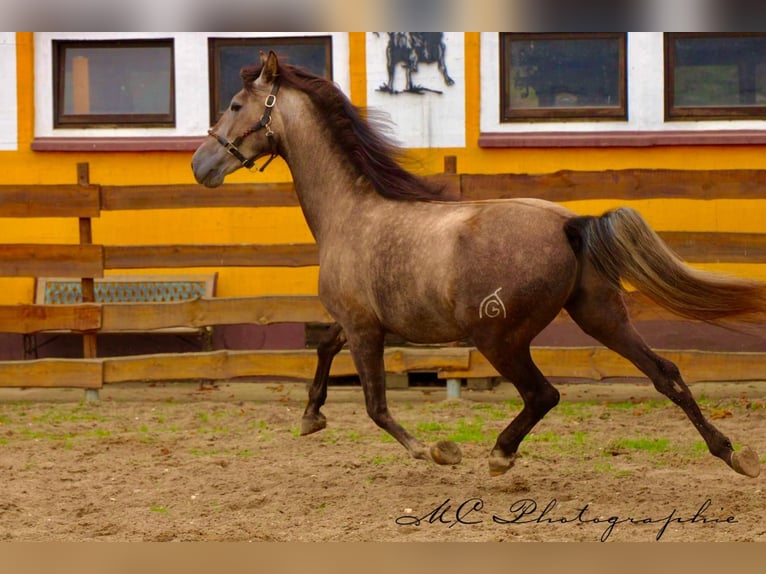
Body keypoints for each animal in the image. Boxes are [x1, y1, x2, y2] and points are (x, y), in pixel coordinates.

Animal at [192, 51, 765, 478]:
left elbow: (376, 405)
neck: (348, 211)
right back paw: (734, 454)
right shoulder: (359, 322)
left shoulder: (364, 328)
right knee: (666, 374)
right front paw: (312, 418)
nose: (201, 165)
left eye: (236, 104)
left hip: (499, 338)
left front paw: (437, 451)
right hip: (601, 316)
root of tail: (570, 224)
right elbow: (324, 349)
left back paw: (499, 454)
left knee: (544, 394)